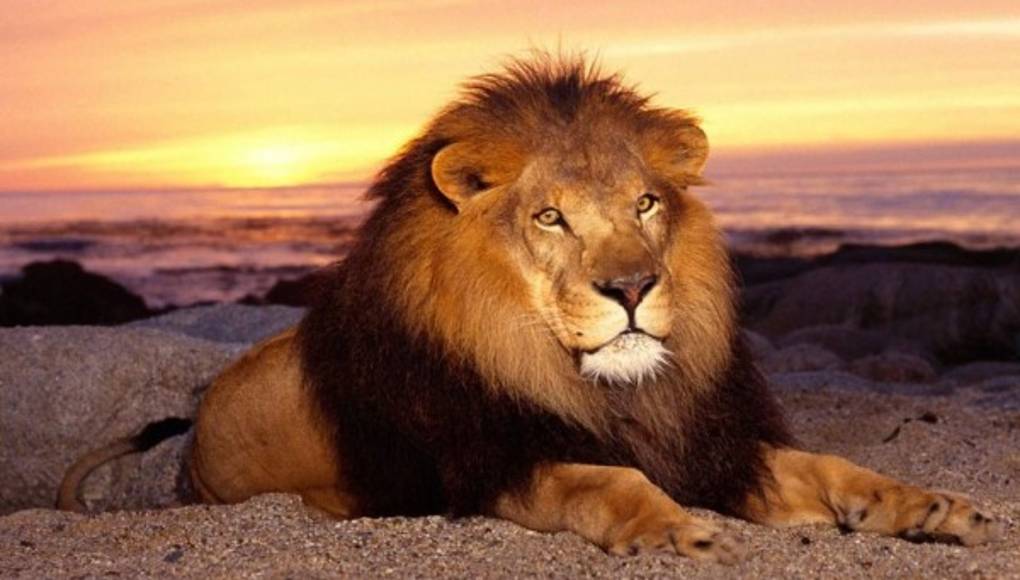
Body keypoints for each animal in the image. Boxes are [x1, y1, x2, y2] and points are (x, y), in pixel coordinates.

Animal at [59, 55, 1002, 563]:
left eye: (646, 205)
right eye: (551, 217)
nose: (632, 289)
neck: (606, 389)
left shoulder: (710, 443)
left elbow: (836, 468)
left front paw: (931, 508)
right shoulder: (491, 463)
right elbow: (605, 479)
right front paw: (681, 532)